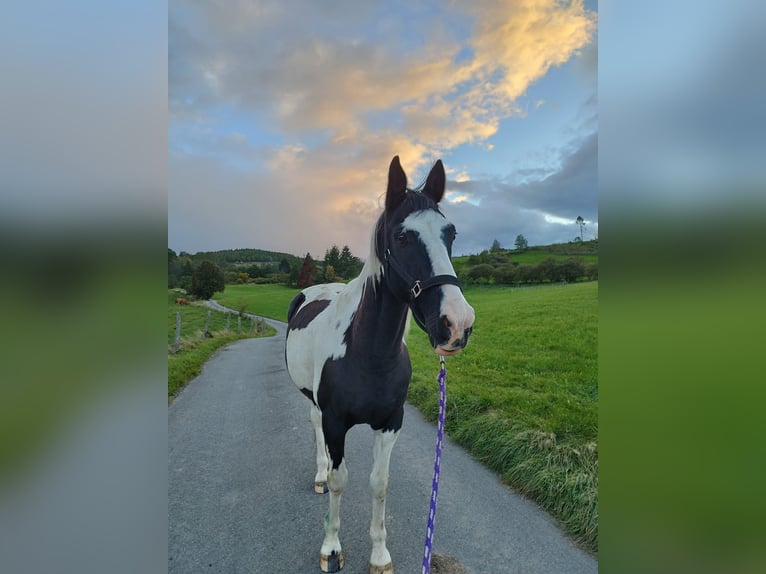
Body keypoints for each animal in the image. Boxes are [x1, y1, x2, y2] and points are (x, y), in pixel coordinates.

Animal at [284, 156, 474, 574]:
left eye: (451, 233)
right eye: (401, 237)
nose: (457, 324)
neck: (367, 354)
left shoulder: (390, 423)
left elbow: (379, 483)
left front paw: (380, 555)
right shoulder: (336, 422)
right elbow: (340, 480)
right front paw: (331, 548)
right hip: (313, 403)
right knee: (315, 428)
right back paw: (319, 475)